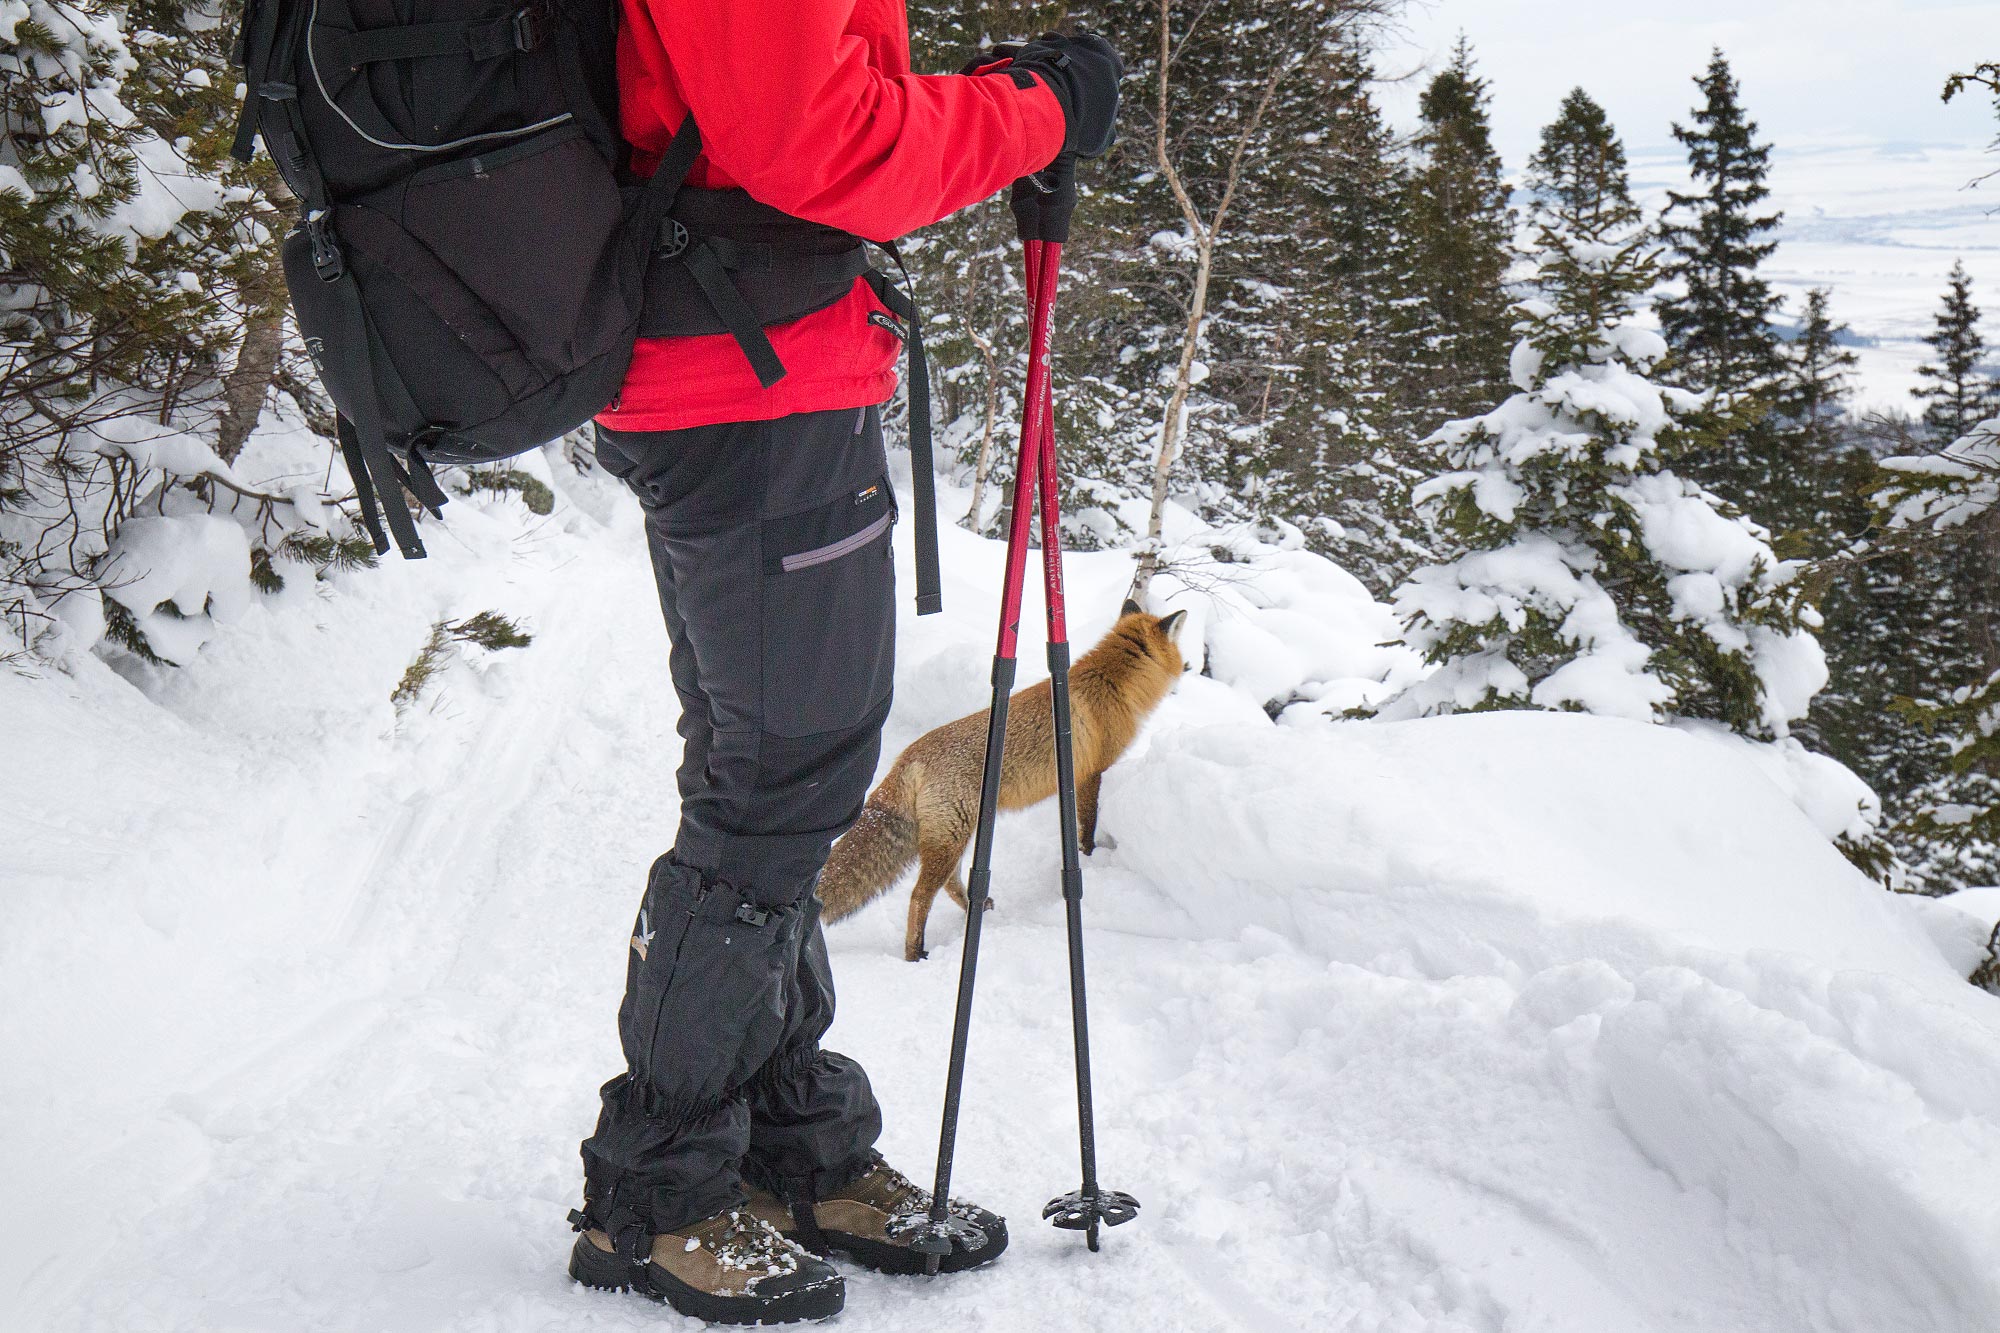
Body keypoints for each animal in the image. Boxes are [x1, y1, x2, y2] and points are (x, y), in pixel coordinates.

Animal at [816, 600, 1184, 956]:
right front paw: (1089, 858)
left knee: (949, 883)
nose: (1190, 666)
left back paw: (975, 908)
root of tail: (909, 755)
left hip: (955, 835)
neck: (1109, 681)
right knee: (920, 896)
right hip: (951, 837)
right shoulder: (1091, 774)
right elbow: (1087, 825)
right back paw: (914, 952)